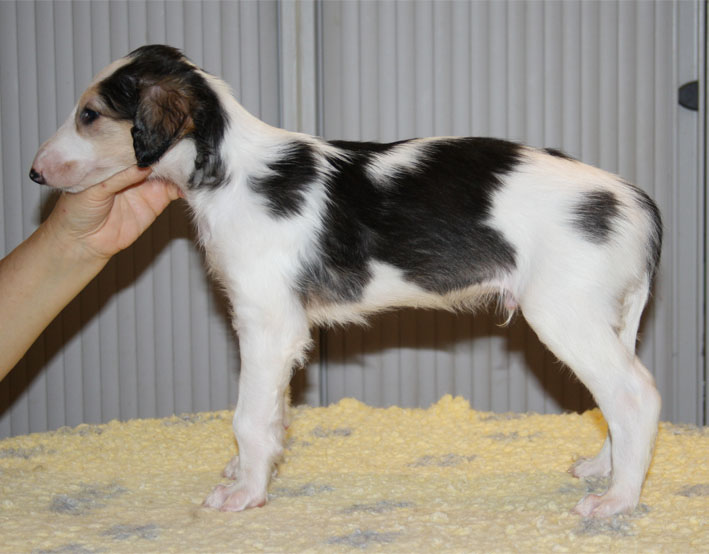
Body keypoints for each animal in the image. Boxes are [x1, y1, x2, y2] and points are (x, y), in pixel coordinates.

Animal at [30, 45, 662, 518]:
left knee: (634, 396)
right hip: (601, 317)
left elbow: (248, 416)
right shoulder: (279, 329)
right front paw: (251, 471)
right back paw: (604, 469)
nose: (35, 172)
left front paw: (245, 492)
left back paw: (618, 500)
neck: (231, 171)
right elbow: (274, 412)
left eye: (90, 114)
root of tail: (634, 201)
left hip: (563, 314)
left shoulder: (266, 323)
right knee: (617, 395)